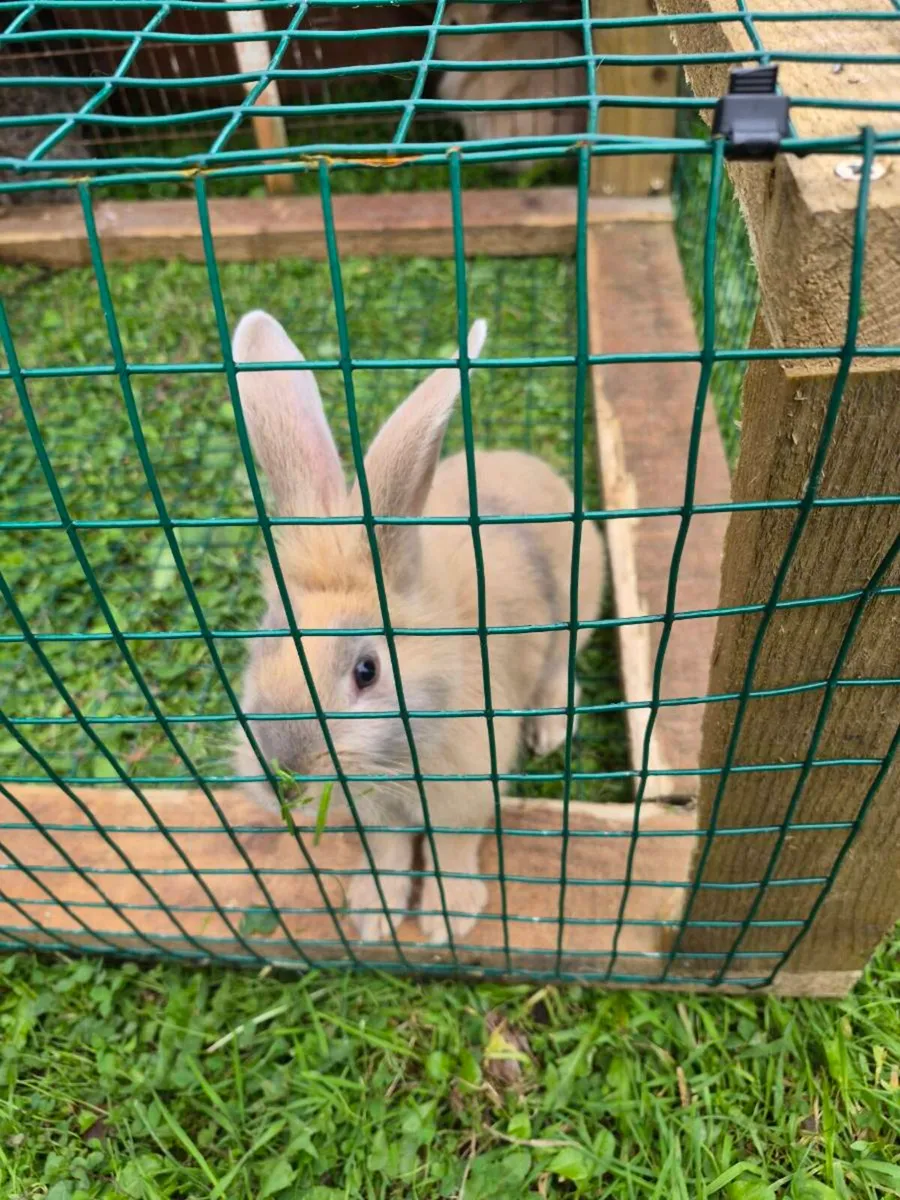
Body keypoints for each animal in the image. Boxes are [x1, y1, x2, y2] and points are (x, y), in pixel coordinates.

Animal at [232, 310, 604, 944]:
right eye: (261, 645)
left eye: (366, 671)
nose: (285, 772)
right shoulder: (379, 816)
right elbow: (387, 852)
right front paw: (374, 915)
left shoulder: (465, 793)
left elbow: (451, 850)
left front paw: (447, 920)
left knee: (563, 670)